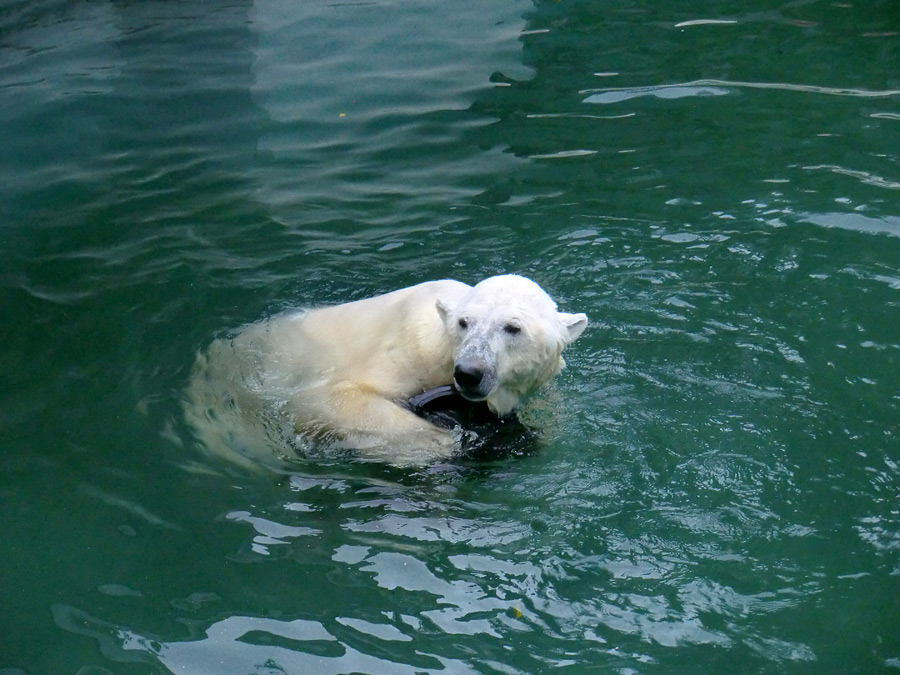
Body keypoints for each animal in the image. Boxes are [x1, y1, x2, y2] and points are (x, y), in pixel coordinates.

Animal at [186, 274, 588, 470]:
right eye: (464, 323)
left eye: (512, 328)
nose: (469, 373)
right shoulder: (399, 348)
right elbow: (328, 400)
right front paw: (446, 441)